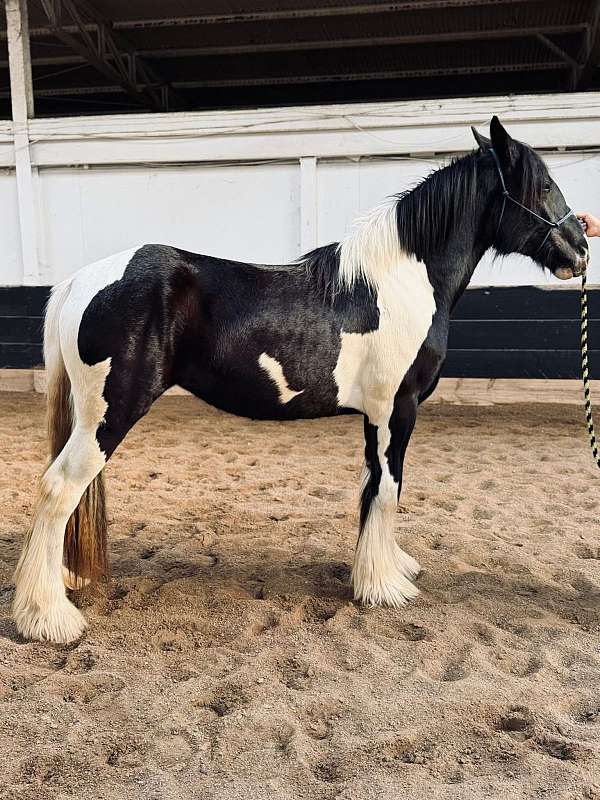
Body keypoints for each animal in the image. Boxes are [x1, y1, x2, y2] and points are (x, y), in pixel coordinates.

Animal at [13, 117, 588, 644]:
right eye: (542, 185)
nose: (580, 248)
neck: (402, 282)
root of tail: (81, 280)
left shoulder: (378, 416)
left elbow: (374, 488)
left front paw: (387, 568)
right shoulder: (397, 409)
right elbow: (389, 488)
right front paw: (384, 587)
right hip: (109, 415)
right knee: (59, 489)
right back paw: (49, 617)